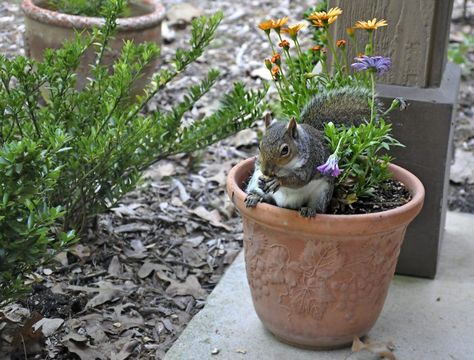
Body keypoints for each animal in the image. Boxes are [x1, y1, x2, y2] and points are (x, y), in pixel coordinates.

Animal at [244, 86, 378, 217]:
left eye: (285, 150)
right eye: (259, 146)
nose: (265, 171)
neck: (285, 168)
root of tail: (286, 206)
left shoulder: (310, 164)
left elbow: (299, 181)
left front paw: (277, 181)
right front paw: (264, 180)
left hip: (322, 194)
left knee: (318, 208)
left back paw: (309, 209)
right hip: (254, 183)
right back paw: (254, 197)